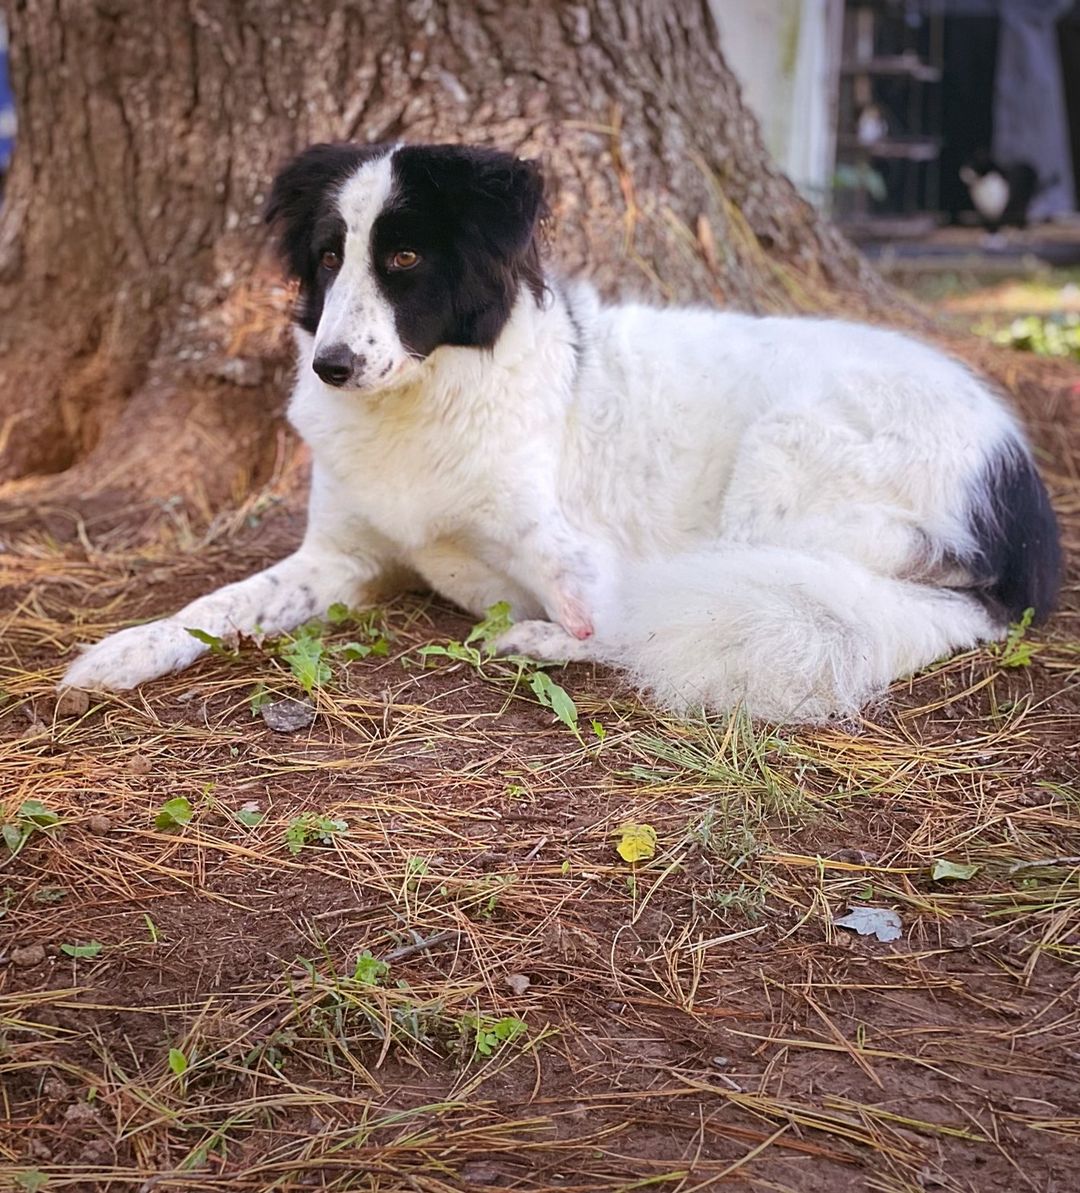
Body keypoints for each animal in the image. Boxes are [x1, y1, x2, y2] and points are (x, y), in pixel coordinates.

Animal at [59, 139, 1059, 715]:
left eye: (406, 256)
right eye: (330, 257)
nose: (330, 367)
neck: (425, 400)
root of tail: (1023, 501)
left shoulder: (586, 561)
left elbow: (607, 619)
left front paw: (541, 634)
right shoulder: (340, 557)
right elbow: (215, 606)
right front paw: (123, 651)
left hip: (782, 470)